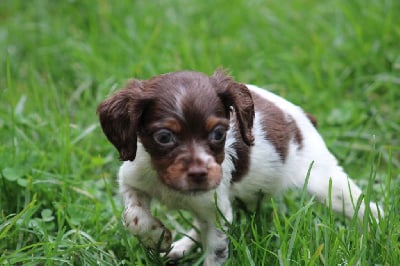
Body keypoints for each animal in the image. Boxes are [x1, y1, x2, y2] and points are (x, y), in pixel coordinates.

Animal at [97, 70, 382, 266]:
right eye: (164, 137)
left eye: (218, 133)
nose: (200, 175)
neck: (169, 184)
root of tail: (300, 117)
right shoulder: (132, 179)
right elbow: (134, 216)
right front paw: (157, 237)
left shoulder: (216, 211)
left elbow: (215, 251)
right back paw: (181, 245)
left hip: (325, 181)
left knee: (367, 208)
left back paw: (375, 236)